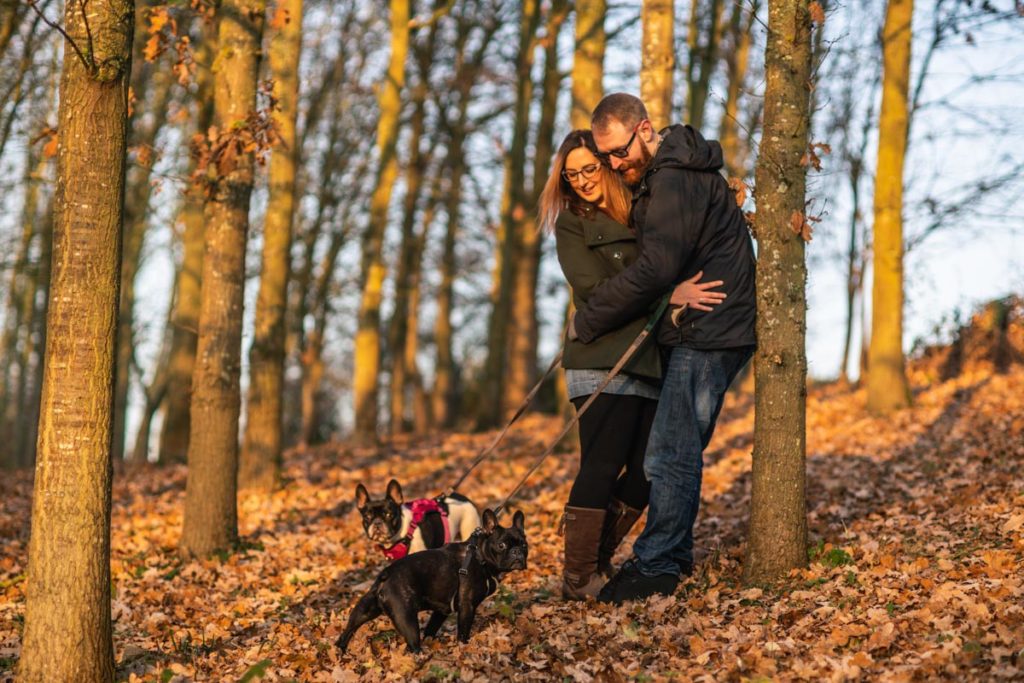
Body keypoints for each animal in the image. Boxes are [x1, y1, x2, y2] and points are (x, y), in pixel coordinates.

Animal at [337, 509, 528, 655]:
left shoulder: (442, 610)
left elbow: (431, 629)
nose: (517, 552)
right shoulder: (467, 607)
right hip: (407, 620)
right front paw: (463, 649)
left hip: (363, 610)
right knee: (413, 644)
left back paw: (340, 652)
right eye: (502, 545)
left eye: (525, 545)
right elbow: (463, 632)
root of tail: (386, 575)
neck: (481, 557)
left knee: (347, 631)